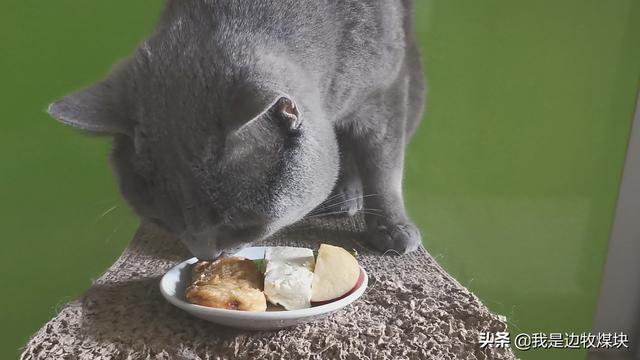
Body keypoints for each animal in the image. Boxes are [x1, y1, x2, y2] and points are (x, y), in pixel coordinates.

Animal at [48, 0, 424, 260]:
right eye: (161, 222)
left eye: (242, 226)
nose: (205, 256)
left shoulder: (385, 93)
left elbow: (383, 168)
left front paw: (393, 229)